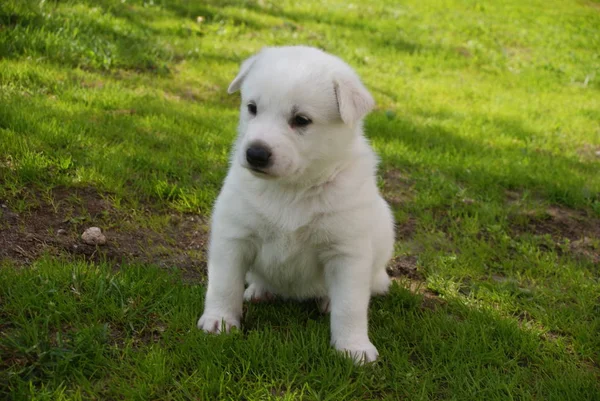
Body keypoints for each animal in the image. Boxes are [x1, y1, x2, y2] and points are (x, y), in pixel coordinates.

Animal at [197, 45, 394, 360]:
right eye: (252, 108)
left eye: (301, 120)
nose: (255, 153)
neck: (292, 188)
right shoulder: (234, 236)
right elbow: (224, 284)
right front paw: (220, 320)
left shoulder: (347, 253)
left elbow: (350, 306)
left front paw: (354, 347)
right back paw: (259, 290)